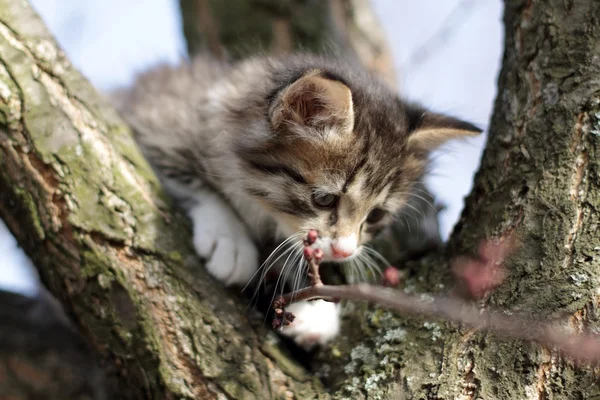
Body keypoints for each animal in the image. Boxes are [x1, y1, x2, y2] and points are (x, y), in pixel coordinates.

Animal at [116, 54, 482, 350]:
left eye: (376, 215)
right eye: (324, 199)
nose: (345, 252)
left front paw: (313, 308)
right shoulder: (152, 115)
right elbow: (190, 177)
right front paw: (229, 238)